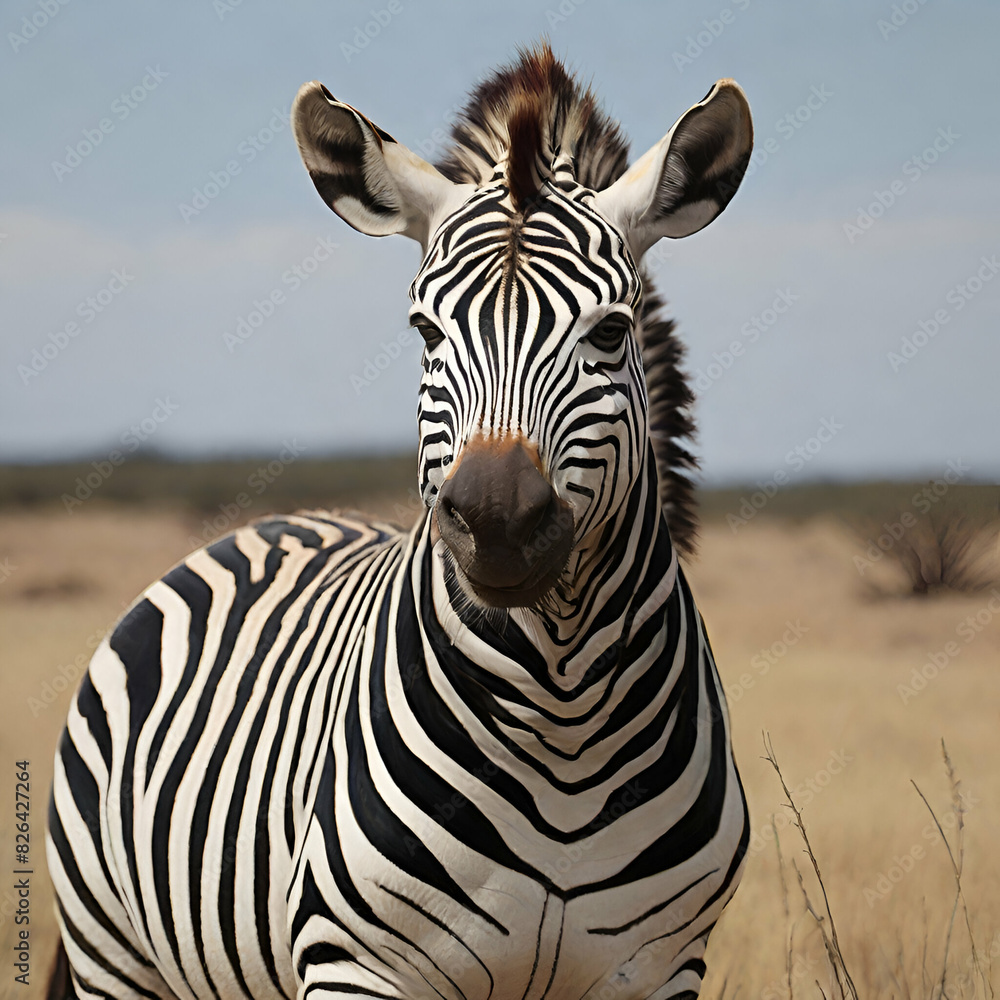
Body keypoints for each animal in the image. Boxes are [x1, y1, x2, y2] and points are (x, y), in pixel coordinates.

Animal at [47, 43, 753, 1000]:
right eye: (425, 331)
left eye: (611, 331)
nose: (498, 522)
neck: (563, 711)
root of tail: (278, 523)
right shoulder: (355, 963)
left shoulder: (656, 969)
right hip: (113, 953)